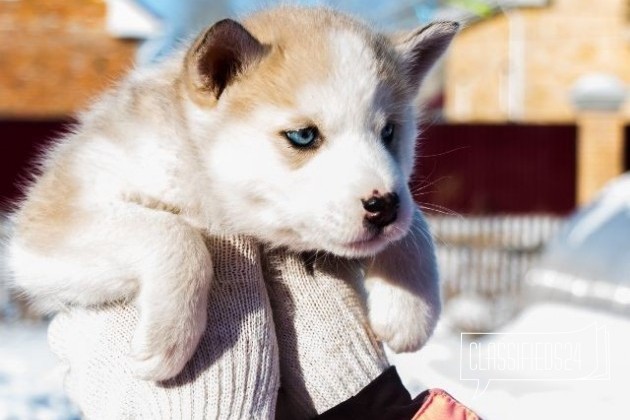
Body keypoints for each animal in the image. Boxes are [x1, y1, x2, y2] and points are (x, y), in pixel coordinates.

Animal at [6, 7, 460, 380]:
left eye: (389, 132)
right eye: (303, 136)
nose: (384, 207)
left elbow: (416, 224)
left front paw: (410, 309)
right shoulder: (47, 226)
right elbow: (174, 234)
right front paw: (169, 337)